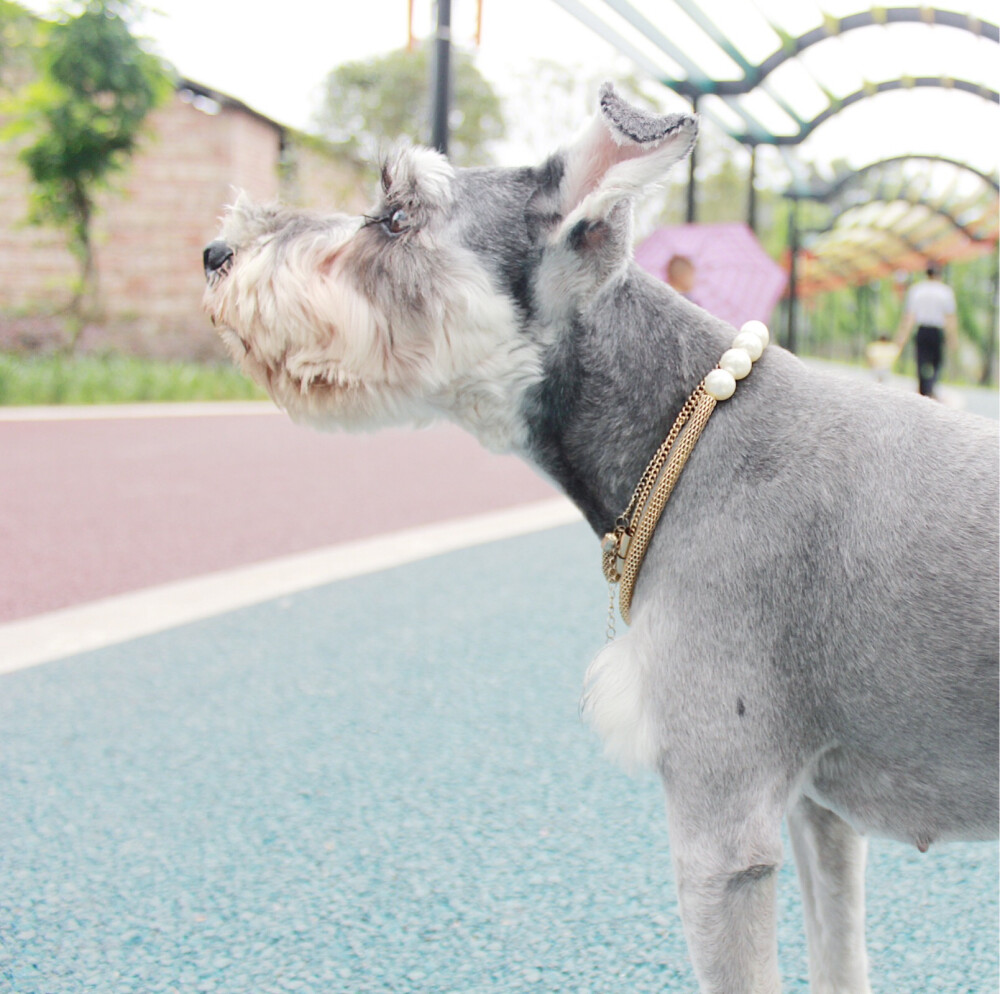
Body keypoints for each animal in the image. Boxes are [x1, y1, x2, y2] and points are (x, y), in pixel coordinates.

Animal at [205, 85, 1000, 992]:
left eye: (398, 215)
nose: (215, 251)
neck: (683, 423)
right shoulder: (813, 813)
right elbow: (839, 953)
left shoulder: (720, 833)